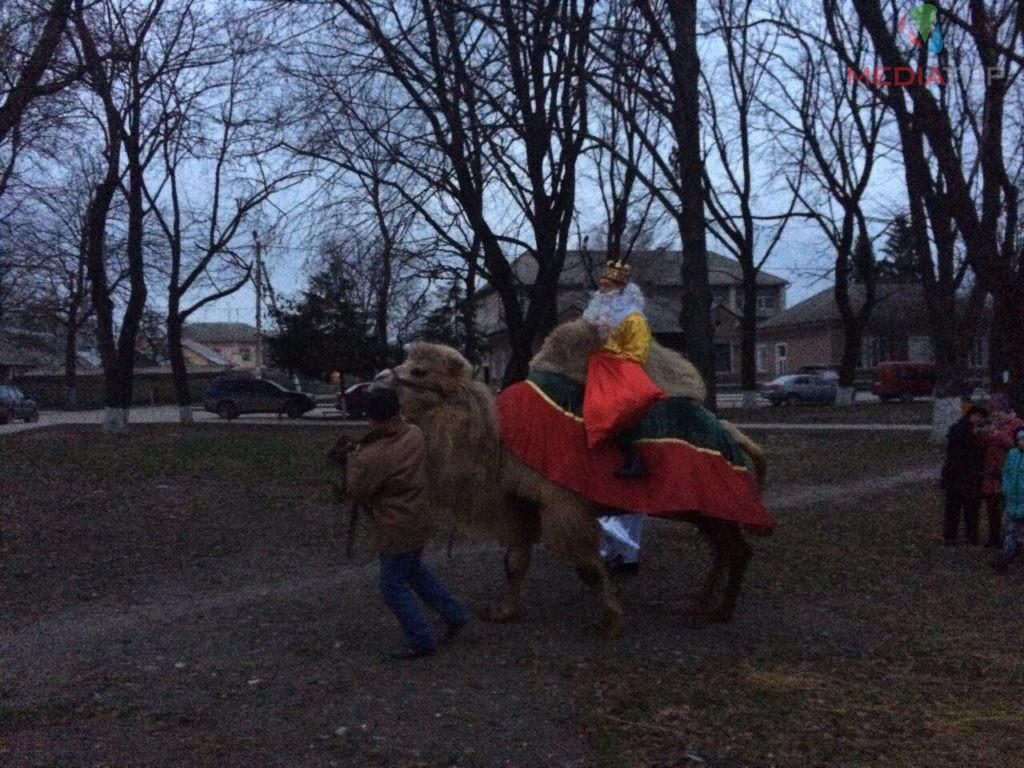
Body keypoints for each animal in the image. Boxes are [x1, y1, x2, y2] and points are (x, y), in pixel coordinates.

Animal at [380, 319, 770, 638]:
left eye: (419, 371)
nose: (381, 379)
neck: (500, 438)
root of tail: (732, 435)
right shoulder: (524, 504)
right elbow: (514, 562)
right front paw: (503, 611)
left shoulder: (562, 502)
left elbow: (587, 568)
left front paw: (610, 621)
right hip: (703, 507)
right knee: (723, 546)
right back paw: (701, 604)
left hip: (716, 497)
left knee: (737, 549)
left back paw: (721, 611)